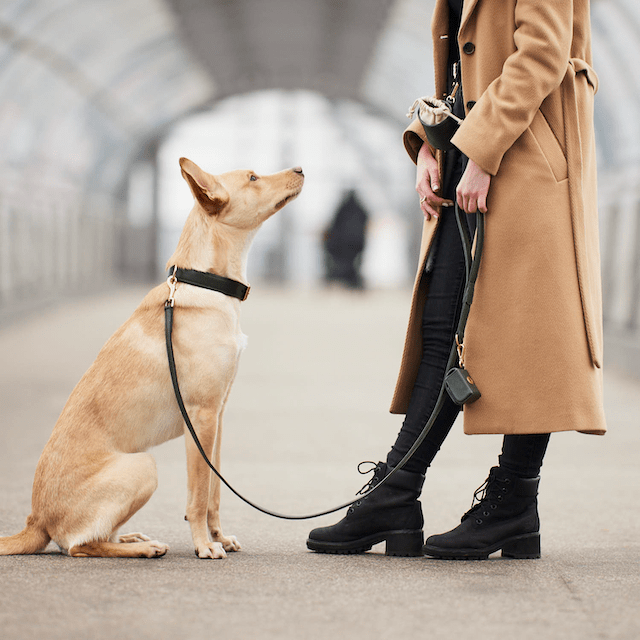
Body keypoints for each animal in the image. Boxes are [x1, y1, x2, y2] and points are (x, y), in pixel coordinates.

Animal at [0, 159, 304, 560]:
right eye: (253, 178)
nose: (300, 169)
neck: (205, 282)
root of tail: (35, 520)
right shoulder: (202, 418)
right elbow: (199, 495)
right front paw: (204, 545)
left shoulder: (218, 417)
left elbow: (215, 493)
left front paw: (219, 537)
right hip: (143, 466)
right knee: (80, 545)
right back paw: (143, 548)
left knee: (97, 536)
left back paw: (131, 538)